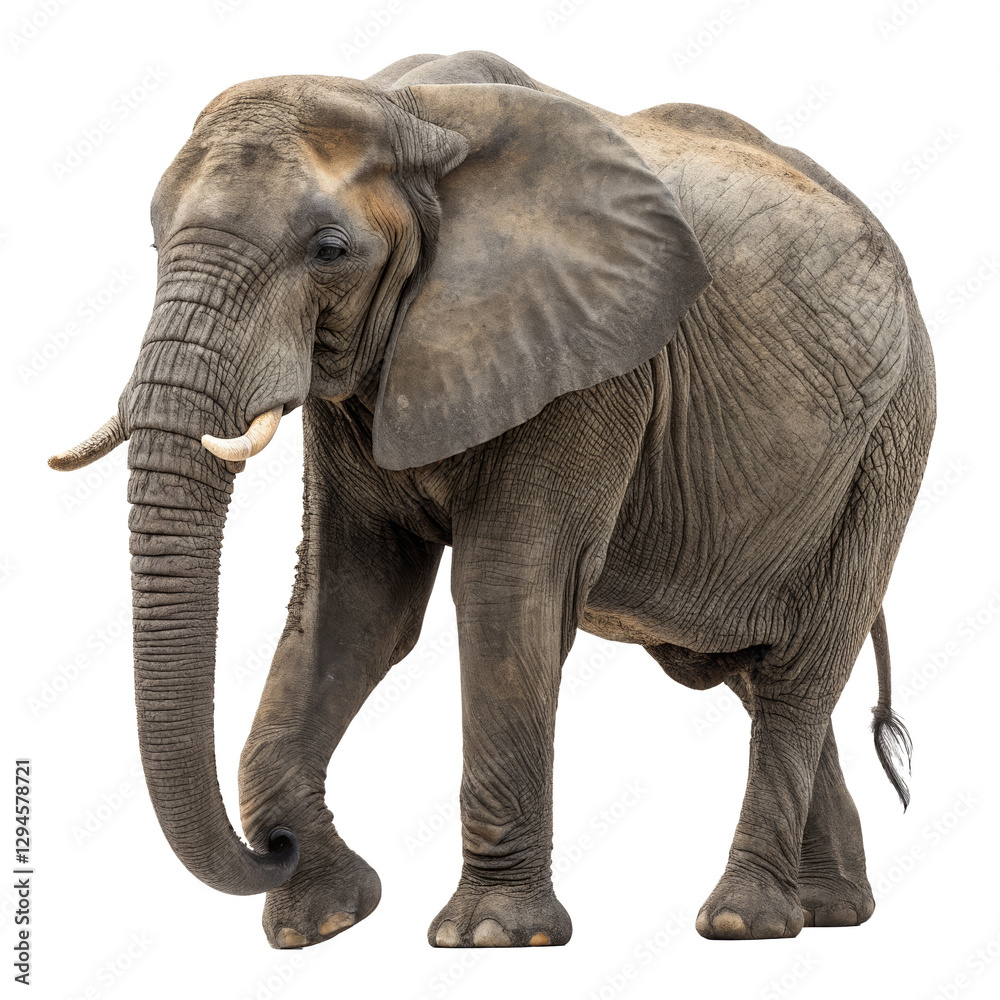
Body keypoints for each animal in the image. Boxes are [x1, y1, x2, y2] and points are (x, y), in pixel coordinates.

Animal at [49, 50, 934, 949]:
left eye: (330, 249)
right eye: (154, 239)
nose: (275, 848)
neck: (408, 111)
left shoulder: (594, 365)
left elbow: (506, 593)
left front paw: (492, 936)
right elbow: (353, 601)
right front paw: (322, 922)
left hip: (890, 442)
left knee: (798, 675)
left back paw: (742, 919)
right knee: (754, 670)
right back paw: (828, 912)